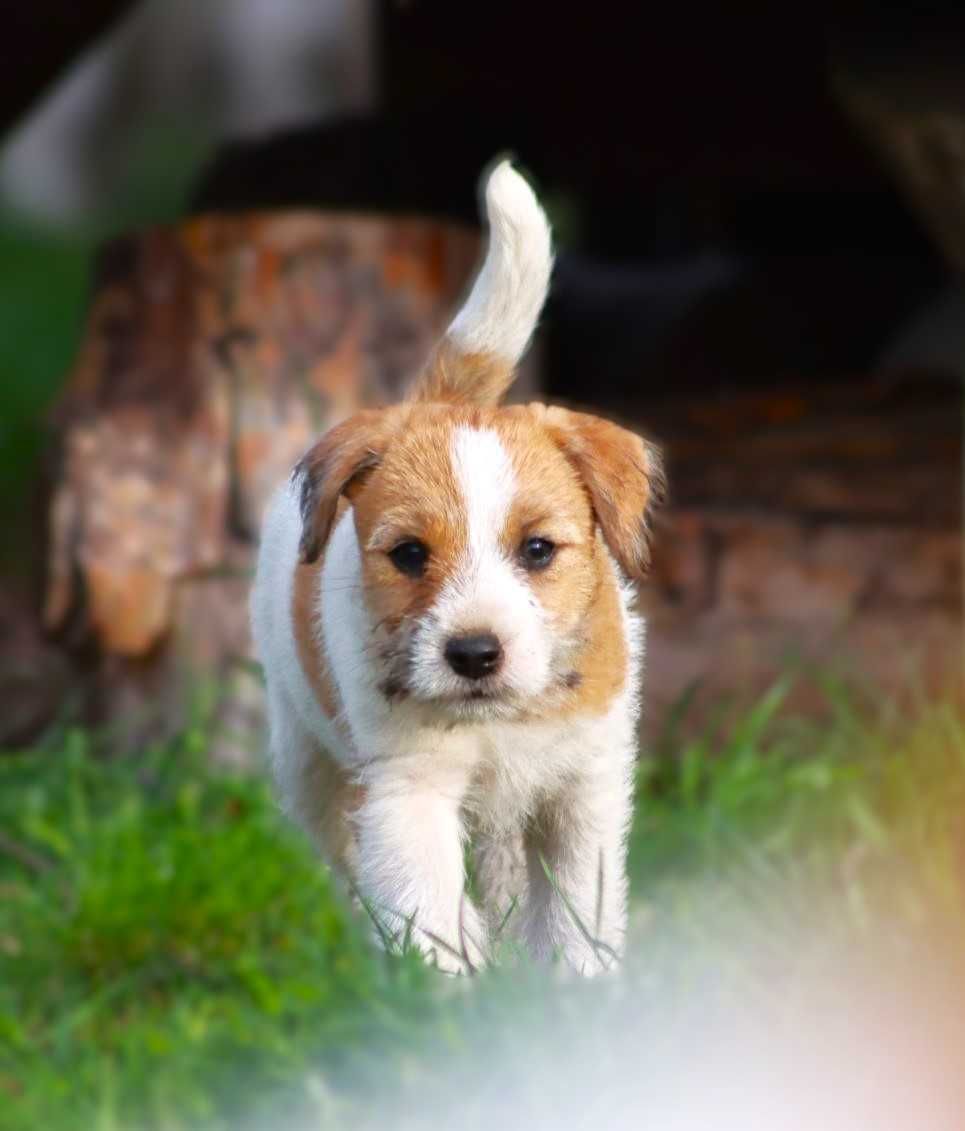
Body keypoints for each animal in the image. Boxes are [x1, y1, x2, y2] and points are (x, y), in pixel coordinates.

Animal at [250, 159, 660, 972]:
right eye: (410, 554)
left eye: (537, 549)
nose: (473, 653)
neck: (499, 718)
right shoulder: (406, 792)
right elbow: (427, 906)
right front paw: (449, 991)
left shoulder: (583, 786)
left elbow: (580, 910)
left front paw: (583, 986)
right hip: (308, 764)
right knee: (353, 862)